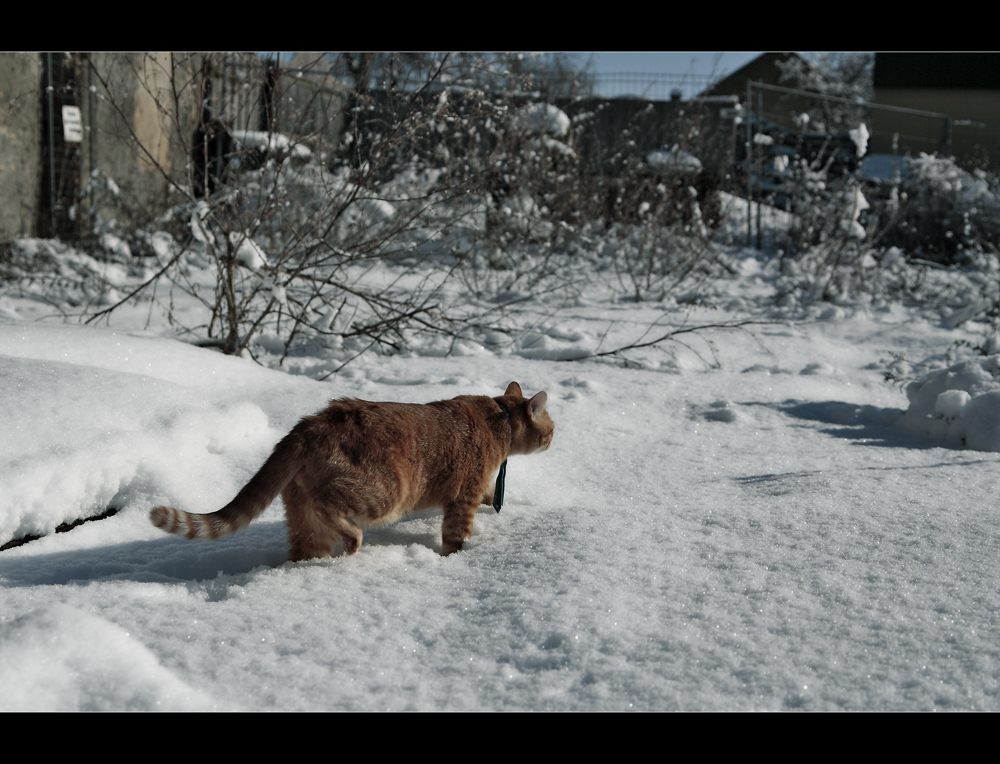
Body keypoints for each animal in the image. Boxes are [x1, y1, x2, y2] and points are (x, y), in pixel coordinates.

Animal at [150, 382, 556, 560]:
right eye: (551, 428)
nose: (554, 439)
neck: (498, 418)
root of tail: (310, 424)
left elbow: (489, 495)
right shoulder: (462, 497)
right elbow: (456, 535)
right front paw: (456, 558)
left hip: (303, 519)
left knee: (306, 546)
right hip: (385, 493)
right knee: (331, 507)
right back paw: (353, 540)